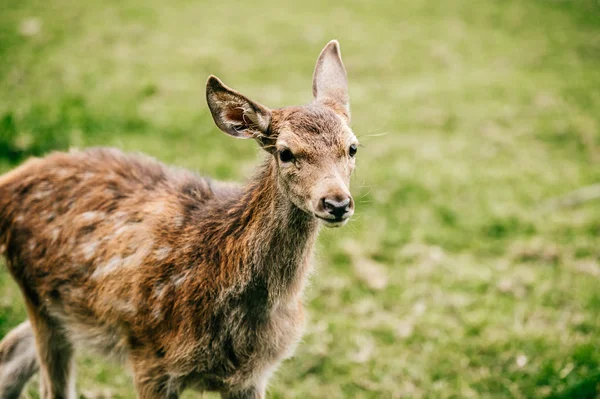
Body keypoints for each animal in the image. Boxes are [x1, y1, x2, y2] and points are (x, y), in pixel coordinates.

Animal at [0, 40, 356, 399]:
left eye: (352, 148)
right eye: (285, 152)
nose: (337, 202)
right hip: (37, 294)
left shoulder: (252, 375)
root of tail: (9, 181)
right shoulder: (149, 357)